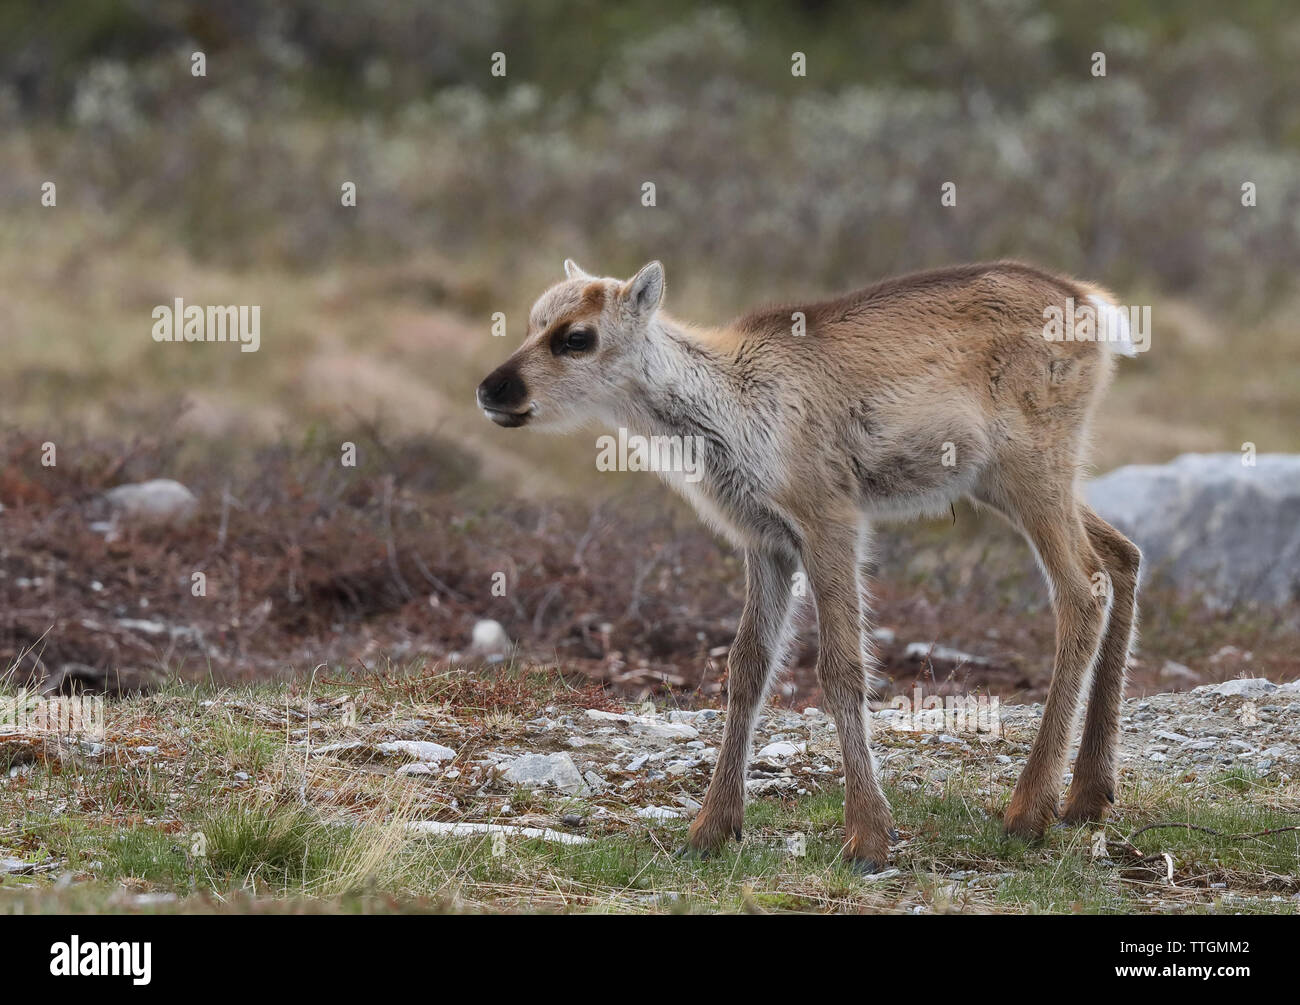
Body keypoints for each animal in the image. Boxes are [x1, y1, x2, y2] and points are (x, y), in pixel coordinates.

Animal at [475, 261, 1138, 868]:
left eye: (577, 336)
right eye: (532, 321)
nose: (492, 389)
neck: (729, 422)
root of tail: (1098, 307)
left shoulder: (831, 518)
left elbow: (841, 666)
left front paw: (869, 835)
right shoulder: (765, 539)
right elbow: (747, 666)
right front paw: (713, 827)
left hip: (1032, 461)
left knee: (1082, 590)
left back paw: (1030, 810)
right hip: (999, 481)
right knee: (1122, 554)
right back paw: (1088, 795)